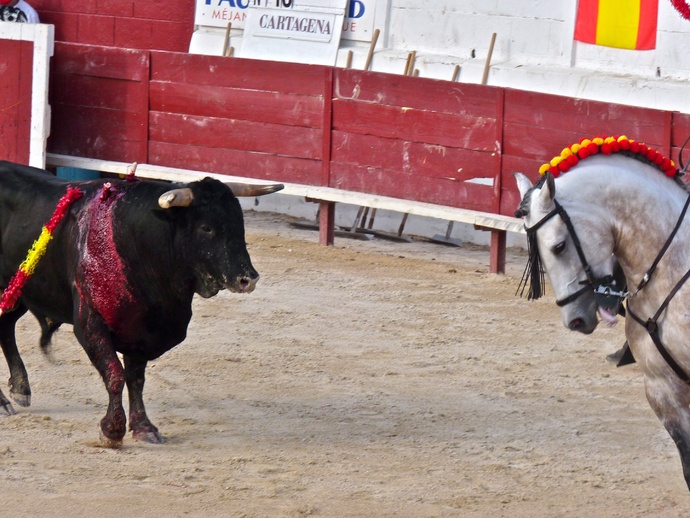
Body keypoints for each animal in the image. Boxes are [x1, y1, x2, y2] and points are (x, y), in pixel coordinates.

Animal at [0, 161, 283, 447]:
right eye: (206, 228)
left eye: (240, 223)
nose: (248, 278)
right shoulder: (89, 324)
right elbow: (115, 374)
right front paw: (112, 430)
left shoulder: (142, 330)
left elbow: (136, 378)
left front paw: (144, 427)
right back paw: (4, 402)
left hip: (17, 295)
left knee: (6, 328)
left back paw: (20, 389)